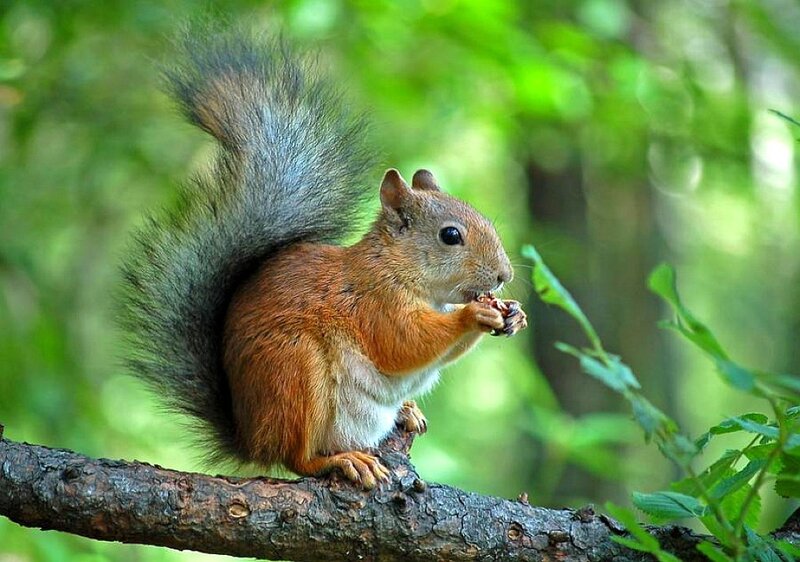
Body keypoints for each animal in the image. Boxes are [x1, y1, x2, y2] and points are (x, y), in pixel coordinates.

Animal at [121, 28, 527, 489]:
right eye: (451, 236)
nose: (503, 275)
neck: (401, 270)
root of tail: (250, 437)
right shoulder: (374, 302)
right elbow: (404, 343)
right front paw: (473, 316)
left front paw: (513, 314)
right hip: (295, 370)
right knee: (296, 457)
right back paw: (341, 461)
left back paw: (404, 412)